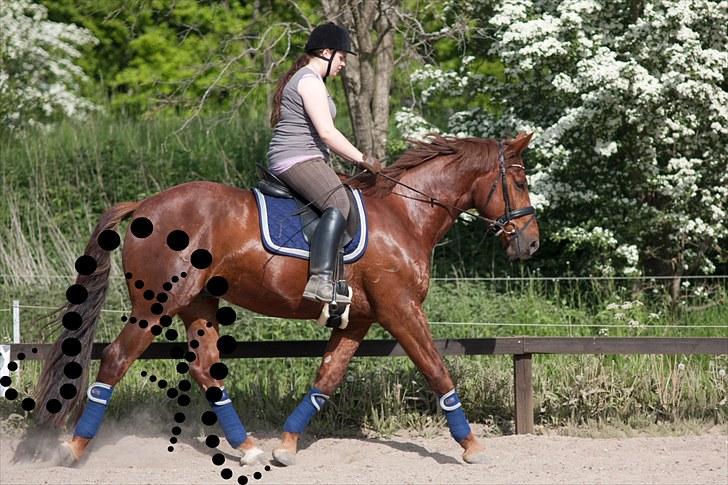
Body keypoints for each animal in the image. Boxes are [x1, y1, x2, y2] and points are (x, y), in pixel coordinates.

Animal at [31, 131, 536, 466]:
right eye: (521, 180)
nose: (530, 244)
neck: (406, 214)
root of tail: (143, 205)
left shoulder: (359, 318)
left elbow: (326, 377)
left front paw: (287, 445)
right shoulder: (400, 310)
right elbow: (436, 369)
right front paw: (471, 445)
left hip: (198, 304)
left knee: (204, 367)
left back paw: (249, 448)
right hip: (156, 305)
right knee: (116, 359)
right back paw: (73, 448)